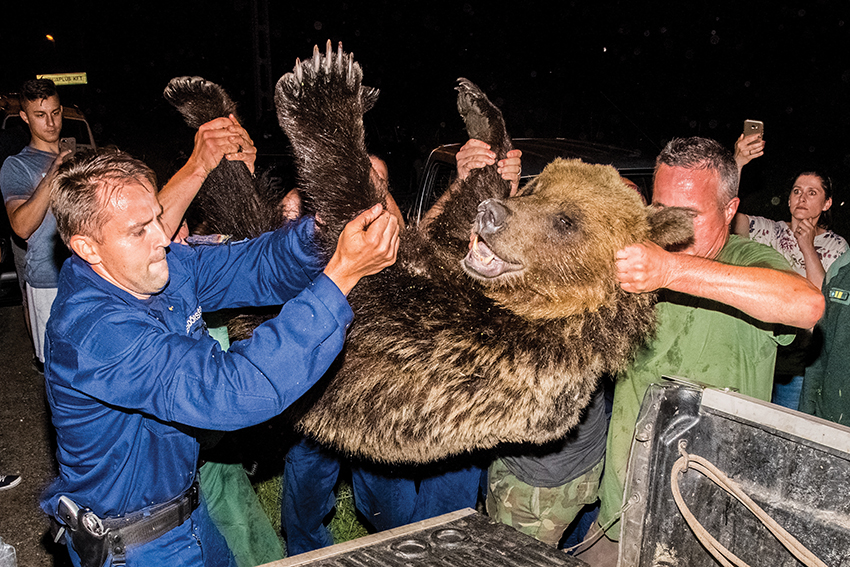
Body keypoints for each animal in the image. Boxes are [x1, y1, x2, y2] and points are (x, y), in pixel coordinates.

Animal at [164, 41, 688, 466]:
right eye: (537, 187)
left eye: (566, 221)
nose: (493, 215)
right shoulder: (451, 254)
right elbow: (453, 210)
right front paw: (481, 118)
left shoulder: (460, 346)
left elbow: (357, 241)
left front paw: (325, 89)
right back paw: (206, 108)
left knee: (246, 221)